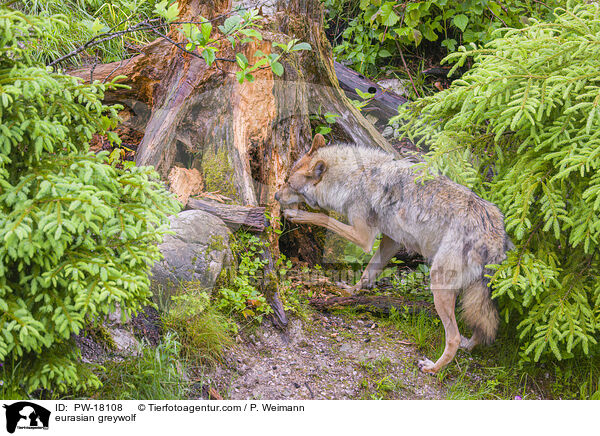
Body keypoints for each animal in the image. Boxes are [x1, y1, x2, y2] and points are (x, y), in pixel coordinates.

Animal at [276, 135, 510, 372]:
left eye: (289, 184)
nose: (276, 195)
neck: (354, 177)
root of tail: (495, 236)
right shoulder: (392, 241)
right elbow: (368, 272)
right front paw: (350, 291)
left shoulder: (364, 238)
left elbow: (324, 218)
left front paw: (296, 214)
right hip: (472, 294)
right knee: (479, 330)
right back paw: (467, 345)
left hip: (438, 286)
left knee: (453, 337)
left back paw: (433, 368)